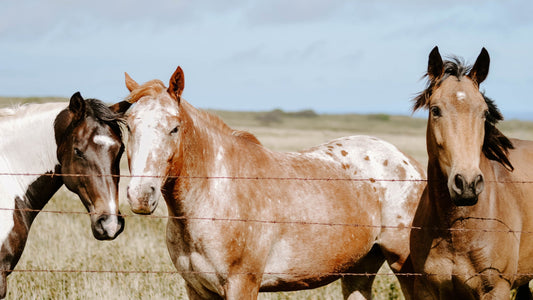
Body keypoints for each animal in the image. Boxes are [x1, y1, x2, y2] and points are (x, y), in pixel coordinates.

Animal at [122, 67, 426, 300]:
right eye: (129, 126)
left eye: (174, 128)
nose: (141, 195)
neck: (216, 195)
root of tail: (408, 162)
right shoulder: (197, 288)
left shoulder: (242, 285)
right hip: (358, 270)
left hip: (405, 266)